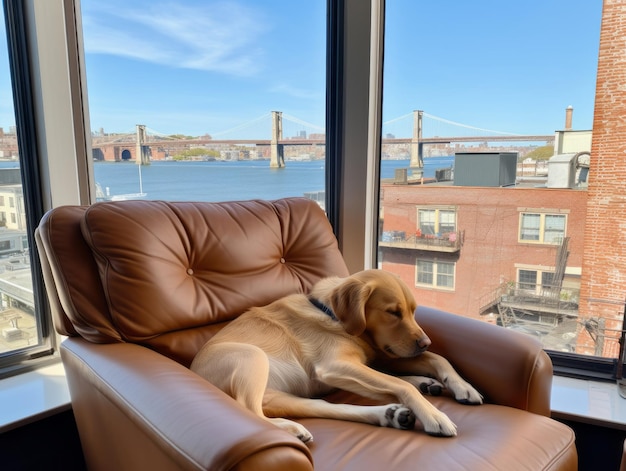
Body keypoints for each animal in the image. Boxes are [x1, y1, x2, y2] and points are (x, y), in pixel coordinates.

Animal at [190, 270, 482, 442]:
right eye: (393, 312)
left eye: (413, 311)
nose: (425, 342)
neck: (331, 314)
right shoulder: (335, 365)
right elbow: (400, 384)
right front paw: (434, 415)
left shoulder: (380, 354)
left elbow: (436, 359)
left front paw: (463, 386)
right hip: (251, 356)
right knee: (249, 409)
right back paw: (289, 429)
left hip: (291, 395)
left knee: (328, 406)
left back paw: (390, 413)